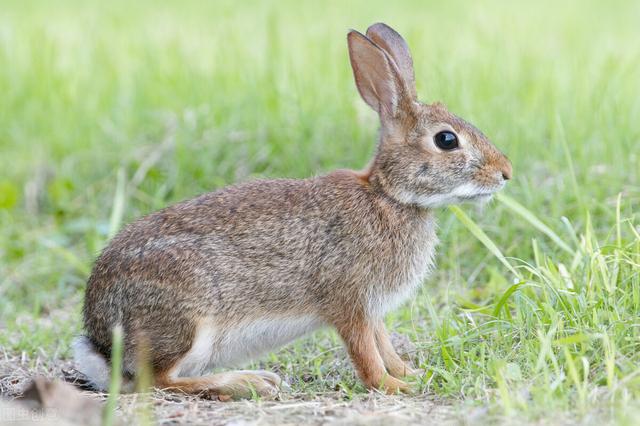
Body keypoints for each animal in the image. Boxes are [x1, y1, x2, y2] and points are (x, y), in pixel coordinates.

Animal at [74, 21, 510, 398]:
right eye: (447, 140)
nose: (505, 172)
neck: (388, 196)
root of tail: (101, 344)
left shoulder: (373, 310)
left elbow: (383, 344)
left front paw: (412, 373)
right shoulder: (349, 302)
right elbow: (365, 355)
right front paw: (395, 387)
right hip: (185, 320)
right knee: (158, 381)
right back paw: (247, 382)